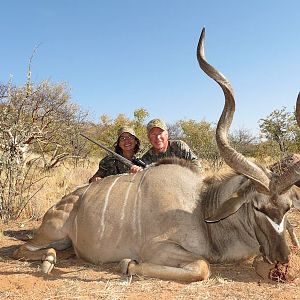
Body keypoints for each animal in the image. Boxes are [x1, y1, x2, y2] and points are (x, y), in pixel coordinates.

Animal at [12, 28, 300, 282]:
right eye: (257, 206)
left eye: (287, 208)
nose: (282, 258)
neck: (201, 209)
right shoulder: (157, 248)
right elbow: (202, 267)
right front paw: (127, 264)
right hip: (53, 231)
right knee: (23, 249)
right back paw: (48, 261)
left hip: (64, 240)